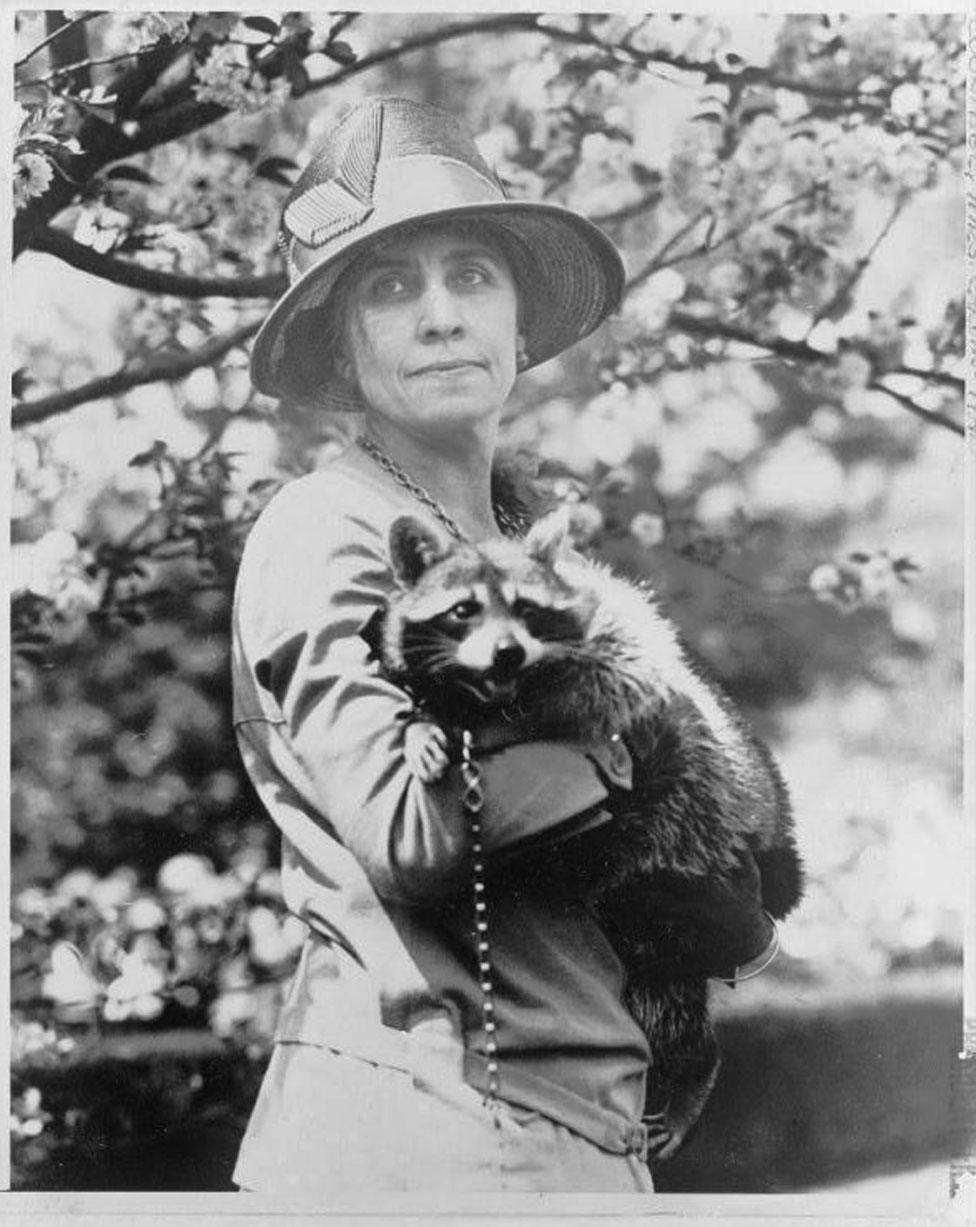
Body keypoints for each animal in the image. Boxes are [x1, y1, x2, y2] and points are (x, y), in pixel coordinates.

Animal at [365, 507, 800, 1158]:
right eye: (463, 610)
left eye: (527, 608)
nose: (506, 654)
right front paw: (423, 719)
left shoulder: (613, 657)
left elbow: (597, 687)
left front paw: (465, 722)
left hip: (687, 854)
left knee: (668, 999)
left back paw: (697, 1065)